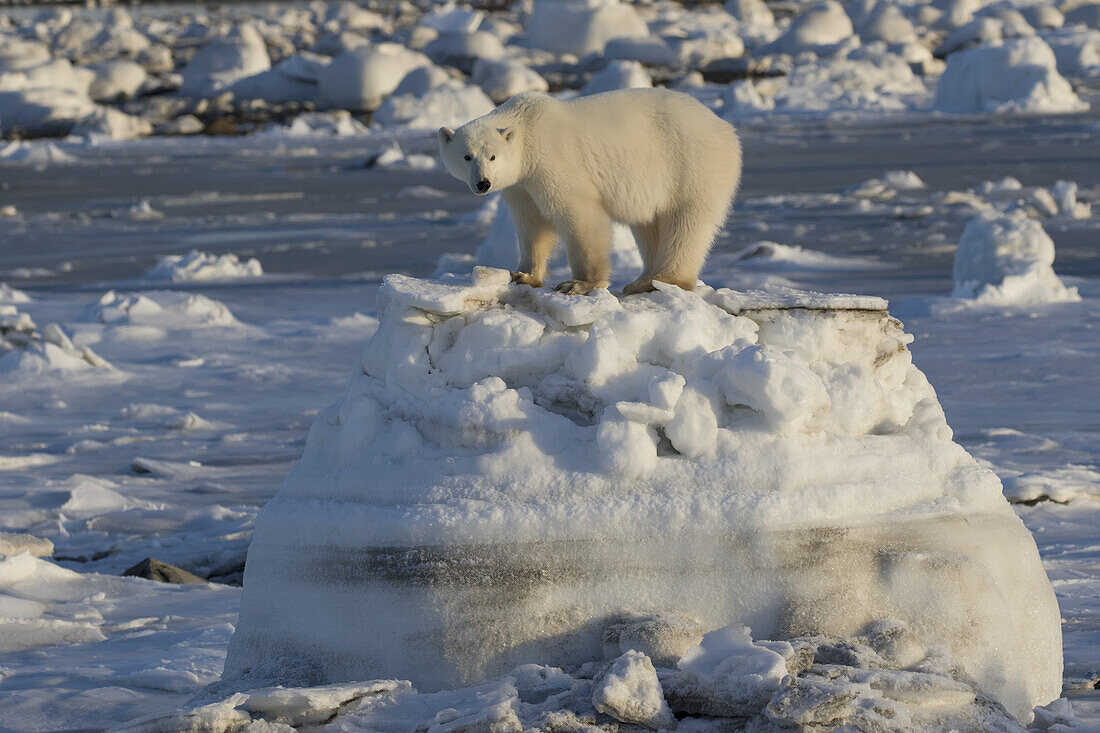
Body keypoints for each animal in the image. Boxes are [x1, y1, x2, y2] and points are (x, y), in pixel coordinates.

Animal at [437, 90, 739, 294]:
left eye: (492, 156)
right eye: (467, 156)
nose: (483, 184)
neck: (528, 130)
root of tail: (726, 128)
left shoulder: (553, 161)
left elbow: (578, 213)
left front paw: (578, 283)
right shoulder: (521, 184)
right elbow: (533, 223)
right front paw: (524, 274)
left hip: (691, 163)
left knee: (686, 221)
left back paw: (660, 281)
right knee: (649, 224)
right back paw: (642, 279)